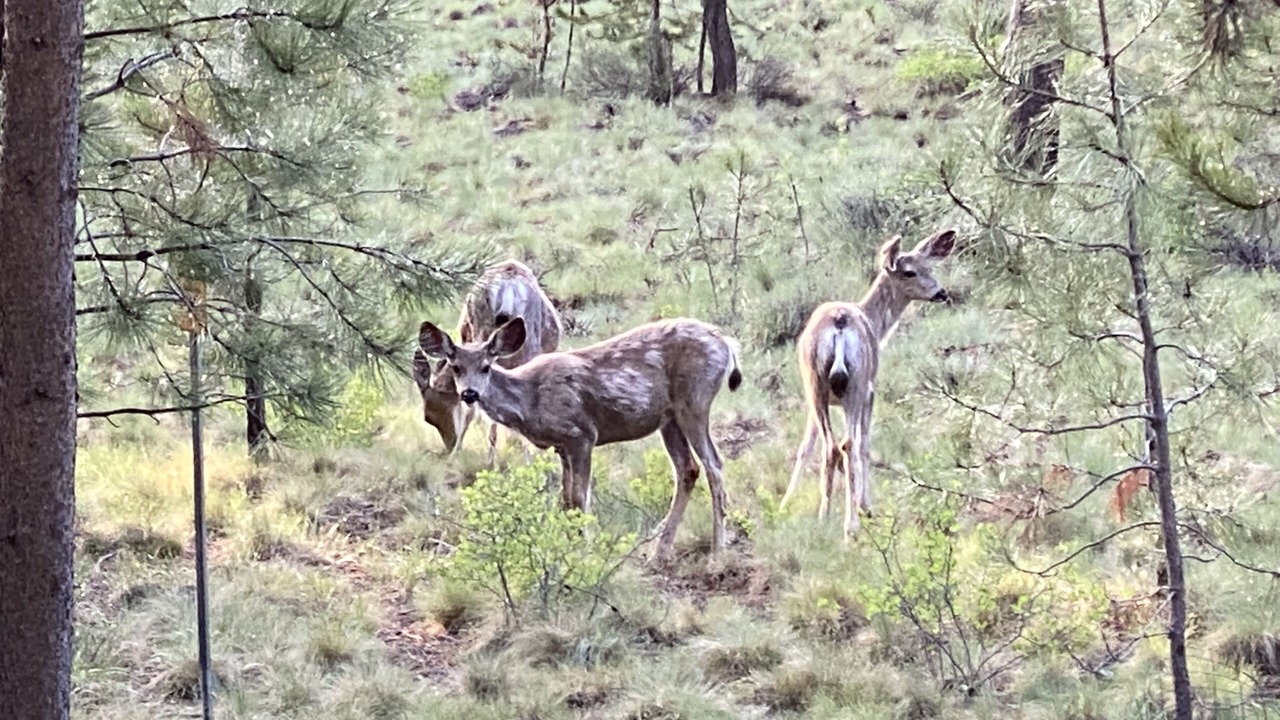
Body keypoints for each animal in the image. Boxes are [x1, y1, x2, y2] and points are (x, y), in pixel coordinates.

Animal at [416, 316, 744, 563]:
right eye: (456, 367)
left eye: (486, 366)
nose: (469, 394)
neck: (530, 400)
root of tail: (726, 343)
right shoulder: (562, 445)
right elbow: (565, 499)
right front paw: (568, 544)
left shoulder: (582, 435)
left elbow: (579, 497)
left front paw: (583, 548)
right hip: (669, 418)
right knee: (688, 469)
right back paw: (659, 550)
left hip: (694, 401)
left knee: (714, 465)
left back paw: (717, 549)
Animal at [780, 228, 958, 538]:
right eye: (909, 272)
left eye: (929, 267)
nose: (941, 293)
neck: (876, 324)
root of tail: (839, 324)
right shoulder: (870, 390)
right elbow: (864, 445)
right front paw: (865, 504)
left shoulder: (817, 398)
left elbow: (806, 445)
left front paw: (785, 504)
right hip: (857, 384)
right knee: (848, 444)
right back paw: (850, 525)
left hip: (816, 384)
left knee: (830, 446)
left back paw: (824, 516)